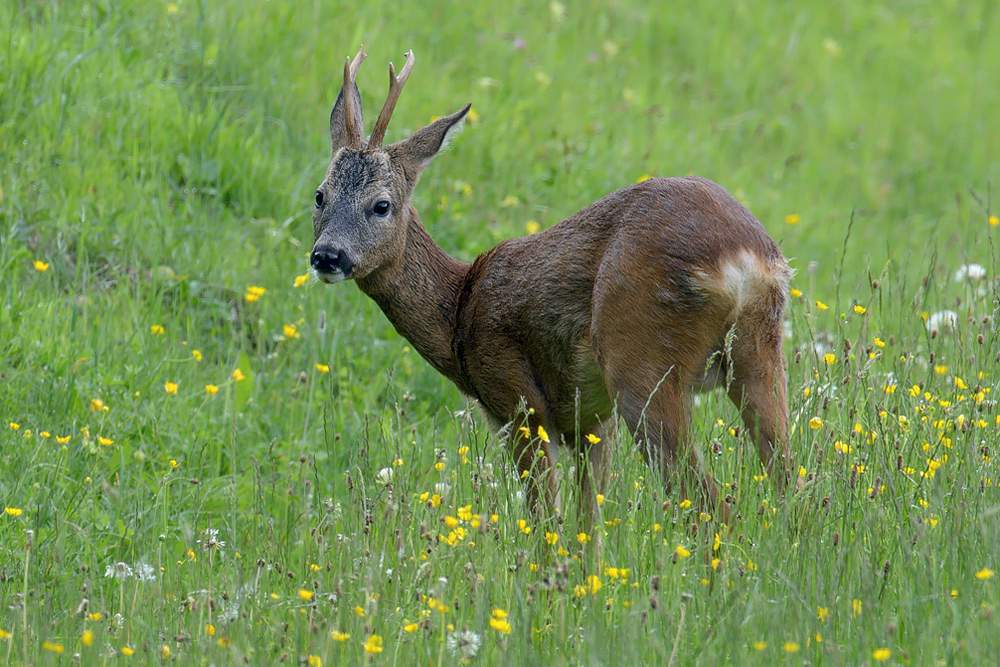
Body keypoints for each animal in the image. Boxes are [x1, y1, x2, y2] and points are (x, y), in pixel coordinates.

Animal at [308, 47, 792, 520]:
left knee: (714, 504)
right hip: (759, 352)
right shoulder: (592, 423)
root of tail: (741, 258)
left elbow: (545, 522)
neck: (459, 312)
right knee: (790, 481)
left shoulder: (518, 400)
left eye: (381, 205)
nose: (327, 255)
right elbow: (587, 526)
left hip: (641, 360)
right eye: (319, 195)